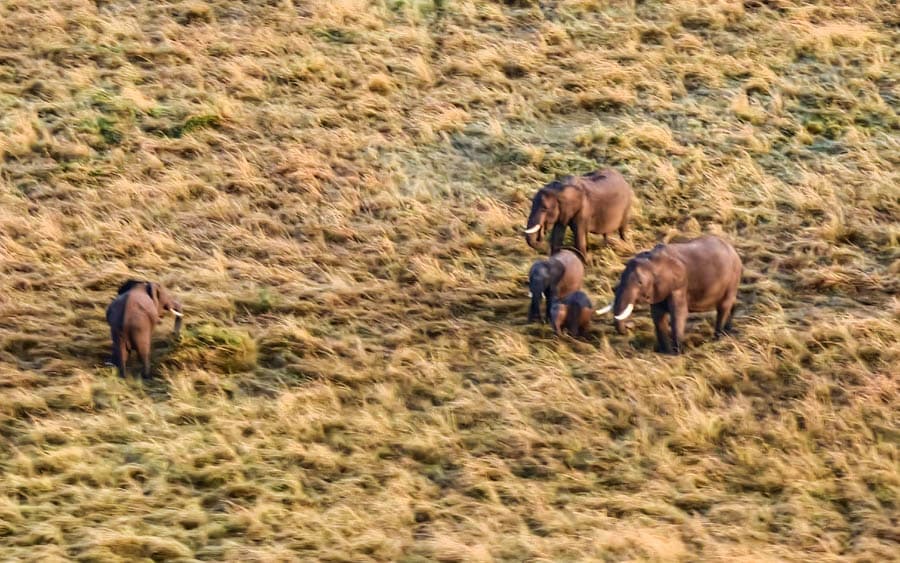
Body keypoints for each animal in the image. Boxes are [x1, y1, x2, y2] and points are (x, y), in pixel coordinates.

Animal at [597, 235, 742, 354]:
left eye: (640, 282)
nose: (628, 328)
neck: (653, 261)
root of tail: (733, 250)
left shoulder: (679, 285)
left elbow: (678, 313)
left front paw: (677, 353)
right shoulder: (658, 290)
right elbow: (657, 315)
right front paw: (665, 352)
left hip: (733, 277)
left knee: (723, 306)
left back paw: (718, 338)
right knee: (730, 304)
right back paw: (727, 332)